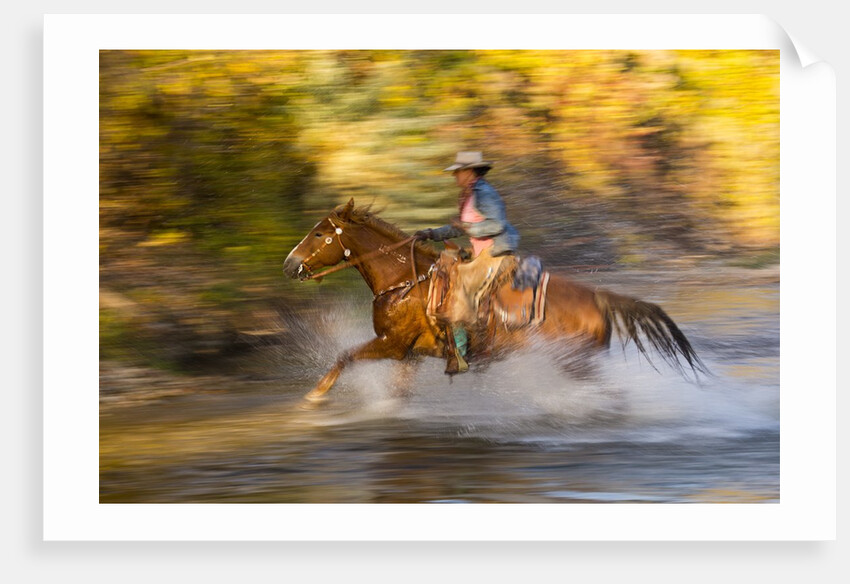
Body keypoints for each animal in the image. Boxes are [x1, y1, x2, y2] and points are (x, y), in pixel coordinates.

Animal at [282, 199, 707, 402]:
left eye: (319, 233)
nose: (289, 264)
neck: (403, 281)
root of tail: (598, 298)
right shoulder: (409, 355)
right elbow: (396, 393)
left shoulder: (392, 344)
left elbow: (344, 357)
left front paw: (312, 399)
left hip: (576, 363)